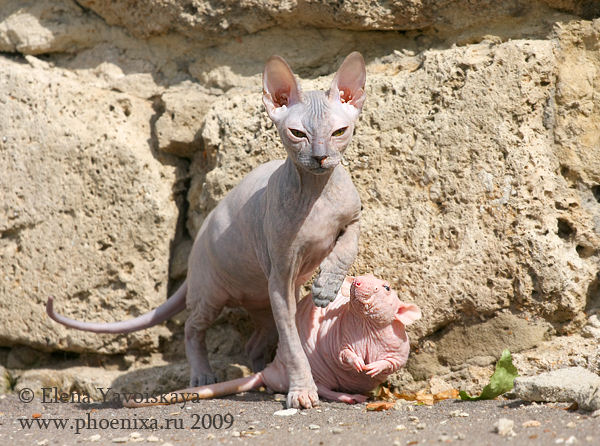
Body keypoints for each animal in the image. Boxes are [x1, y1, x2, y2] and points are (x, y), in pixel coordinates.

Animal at [47, 51, 366, 408]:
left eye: (339, 131)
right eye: (298, 133)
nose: (321, 157)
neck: (316, 191)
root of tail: (197, 244)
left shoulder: (353, 217)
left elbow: (347, 245)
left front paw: (326, 286)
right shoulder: (281, 273)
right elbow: (294, 343)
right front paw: (302, 391)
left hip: (261, 299)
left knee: (256, 340)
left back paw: (264, 374)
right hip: (214, 292)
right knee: (192, 327)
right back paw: (203, 375)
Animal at [122, 278, 422, 410]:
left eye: (386, 287)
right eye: (361, 278)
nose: (357, 281)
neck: (366, 326)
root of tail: (272, 370)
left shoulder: (397, 342)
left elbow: (396, 360)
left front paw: (375, 368)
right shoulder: (341, 334)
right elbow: (342, 353)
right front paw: (358, 362)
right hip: (315, 370)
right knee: (324, 388)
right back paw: (348, 396)